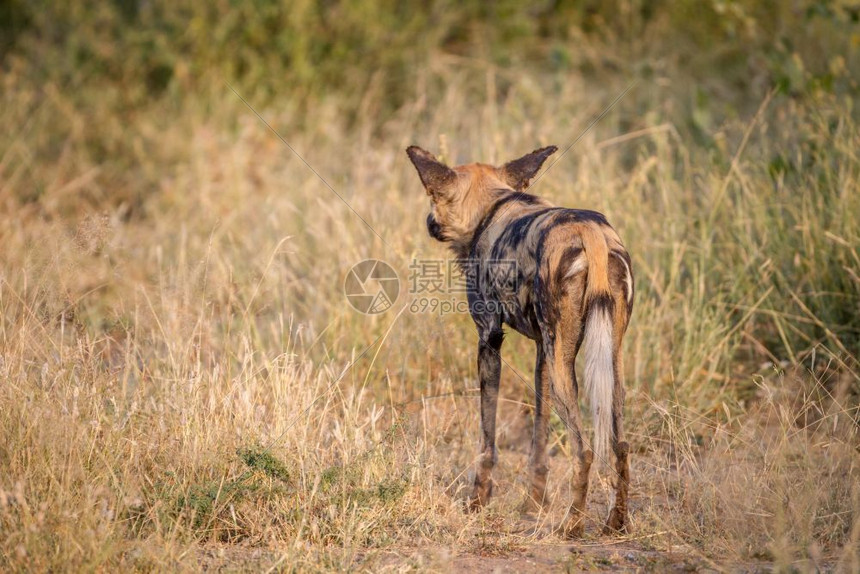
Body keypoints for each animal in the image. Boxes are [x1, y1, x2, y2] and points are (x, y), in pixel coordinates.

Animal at [406, 145, 636, 540]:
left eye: (432, 195)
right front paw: (534, 504)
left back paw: (573, 525)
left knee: (585, 451)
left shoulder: (488, 339)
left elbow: (487, 438)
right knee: (619, 444)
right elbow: (539, 438)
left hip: (565, 376)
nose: (428, 223)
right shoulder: (543, 352)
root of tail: (591, 232)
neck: (491, 207)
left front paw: (478, 501)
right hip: (603, 366)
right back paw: (614, 523)